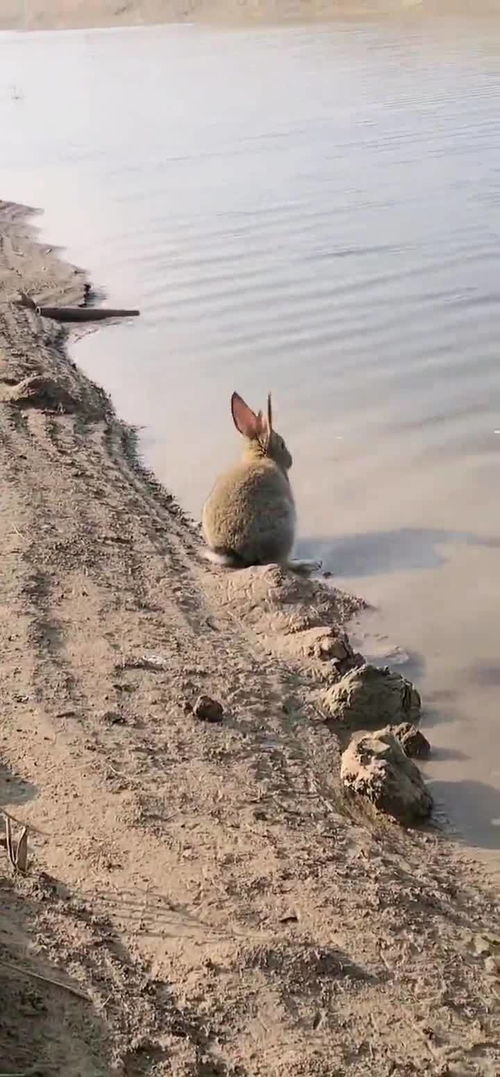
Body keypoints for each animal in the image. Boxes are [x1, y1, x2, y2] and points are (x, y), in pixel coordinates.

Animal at [202, 392, 297, 568]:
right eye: (282, 444)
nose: (290, 460)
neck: (260, 457)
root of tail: (236, 552)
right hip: (285, 524)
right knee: (280, 562)